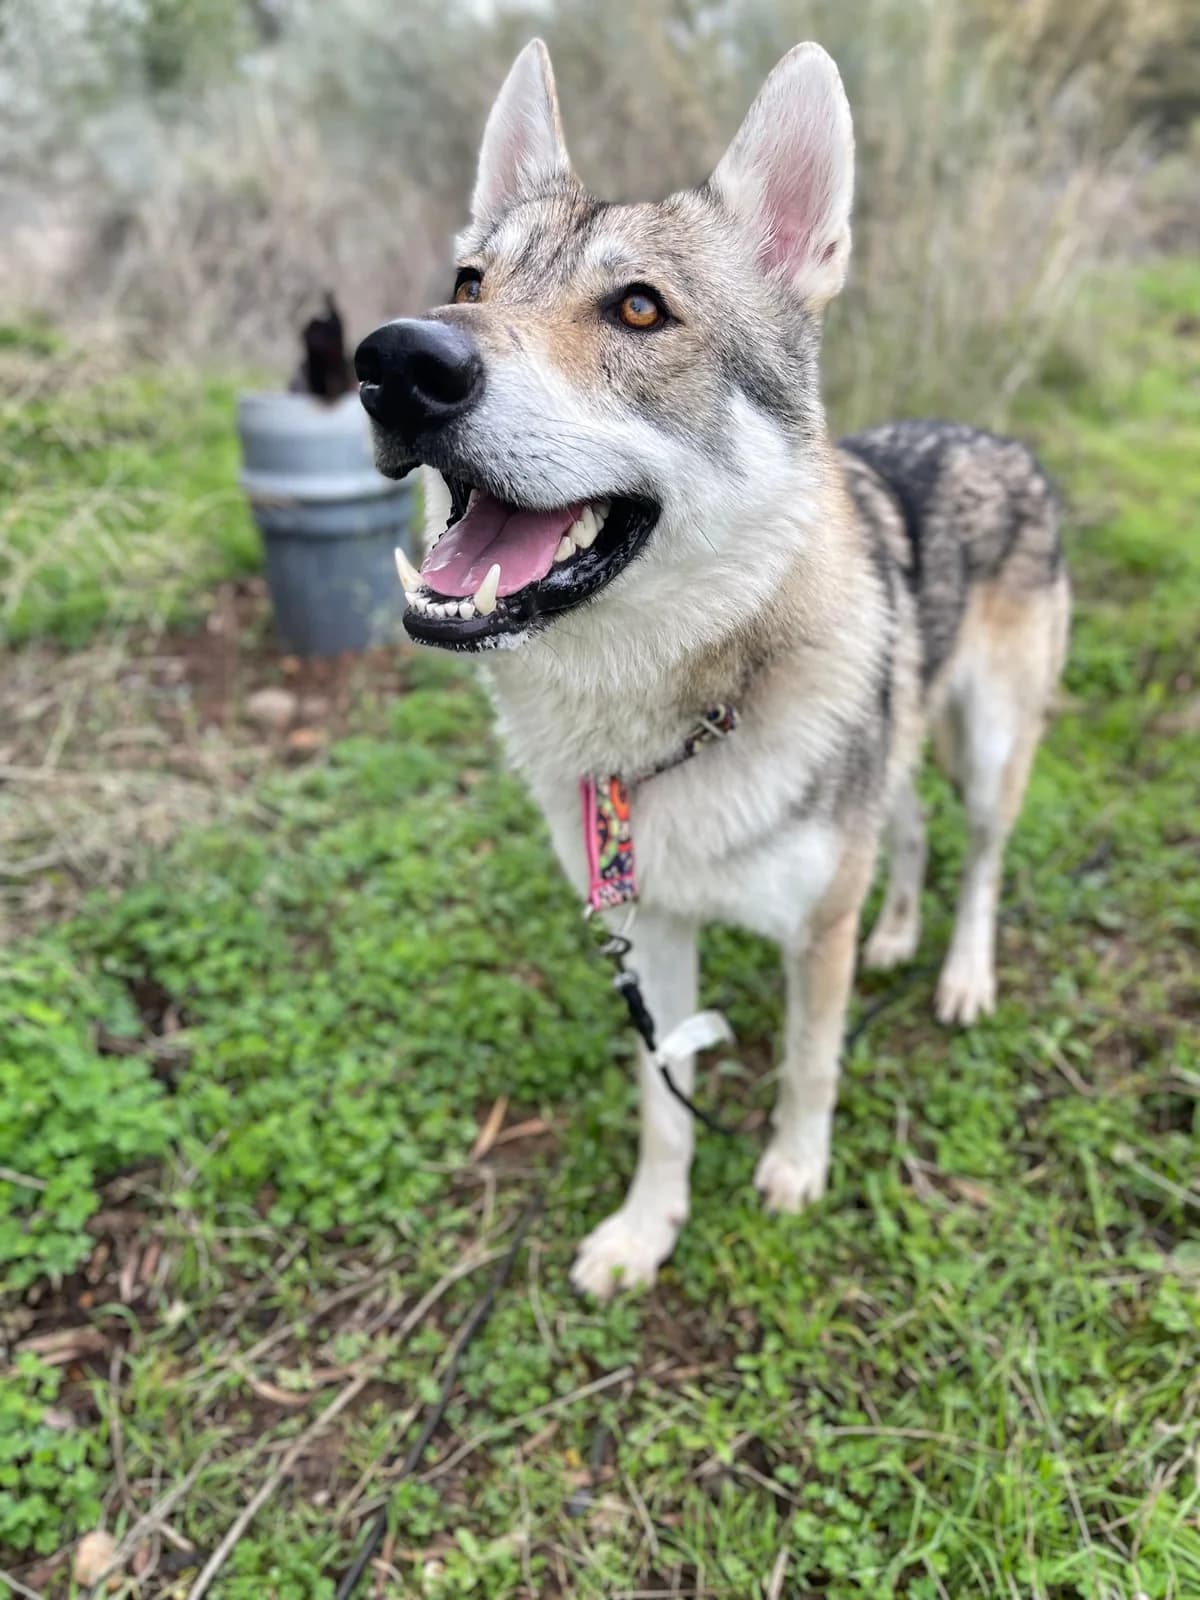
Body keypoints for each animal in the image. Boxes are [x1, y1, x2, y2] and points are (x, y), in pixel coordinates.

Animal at [354, 40, 1070, 1297]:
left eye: (640, 308)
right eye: (470, 284)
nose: (397, 360)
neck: (671, 726)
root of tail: (1001, 438)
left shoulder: (811, 938)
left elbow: (808, 1064)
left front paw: (792, 1172)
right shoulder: (649, 937)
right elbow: (665, 1104)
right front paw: (648, 1231)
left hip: (988, 754)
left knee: (981, 861)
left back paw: (960, 975)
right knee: (910, 836)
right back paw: (897, 934)